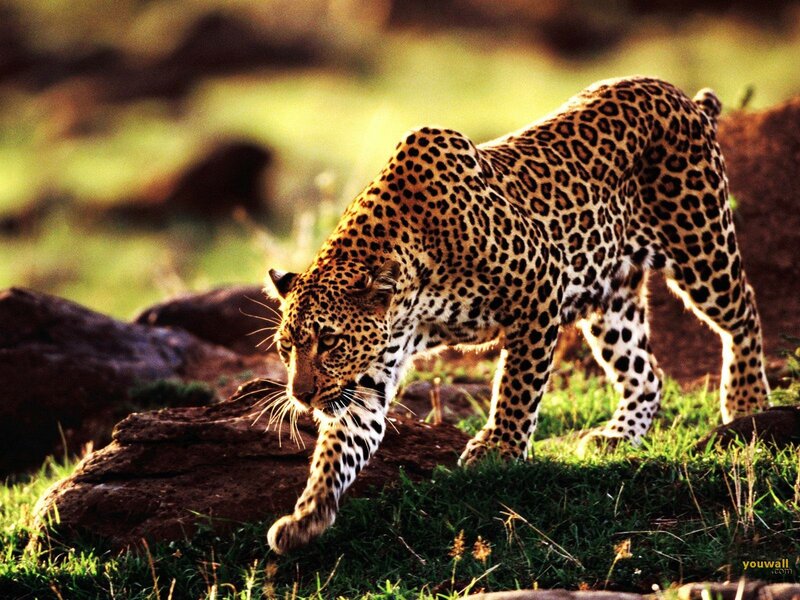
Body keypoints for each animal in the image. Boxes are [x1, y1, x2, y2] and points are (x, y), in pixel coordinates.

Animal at [264, 76, 770, 554]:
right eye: (287, 347)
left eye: (329, 342)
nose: (301, 396)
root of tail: (682, 96)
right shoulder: (369, 376)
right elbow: (341, 447)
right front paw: (306, 516)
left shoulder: (540, 287)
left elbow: (517, 385)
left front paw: (499, 449)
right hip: (611, 298)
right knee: (646, 373)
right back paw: (618, 436)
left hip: (701, 247)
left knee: (744, 312)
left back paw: (746, 404)